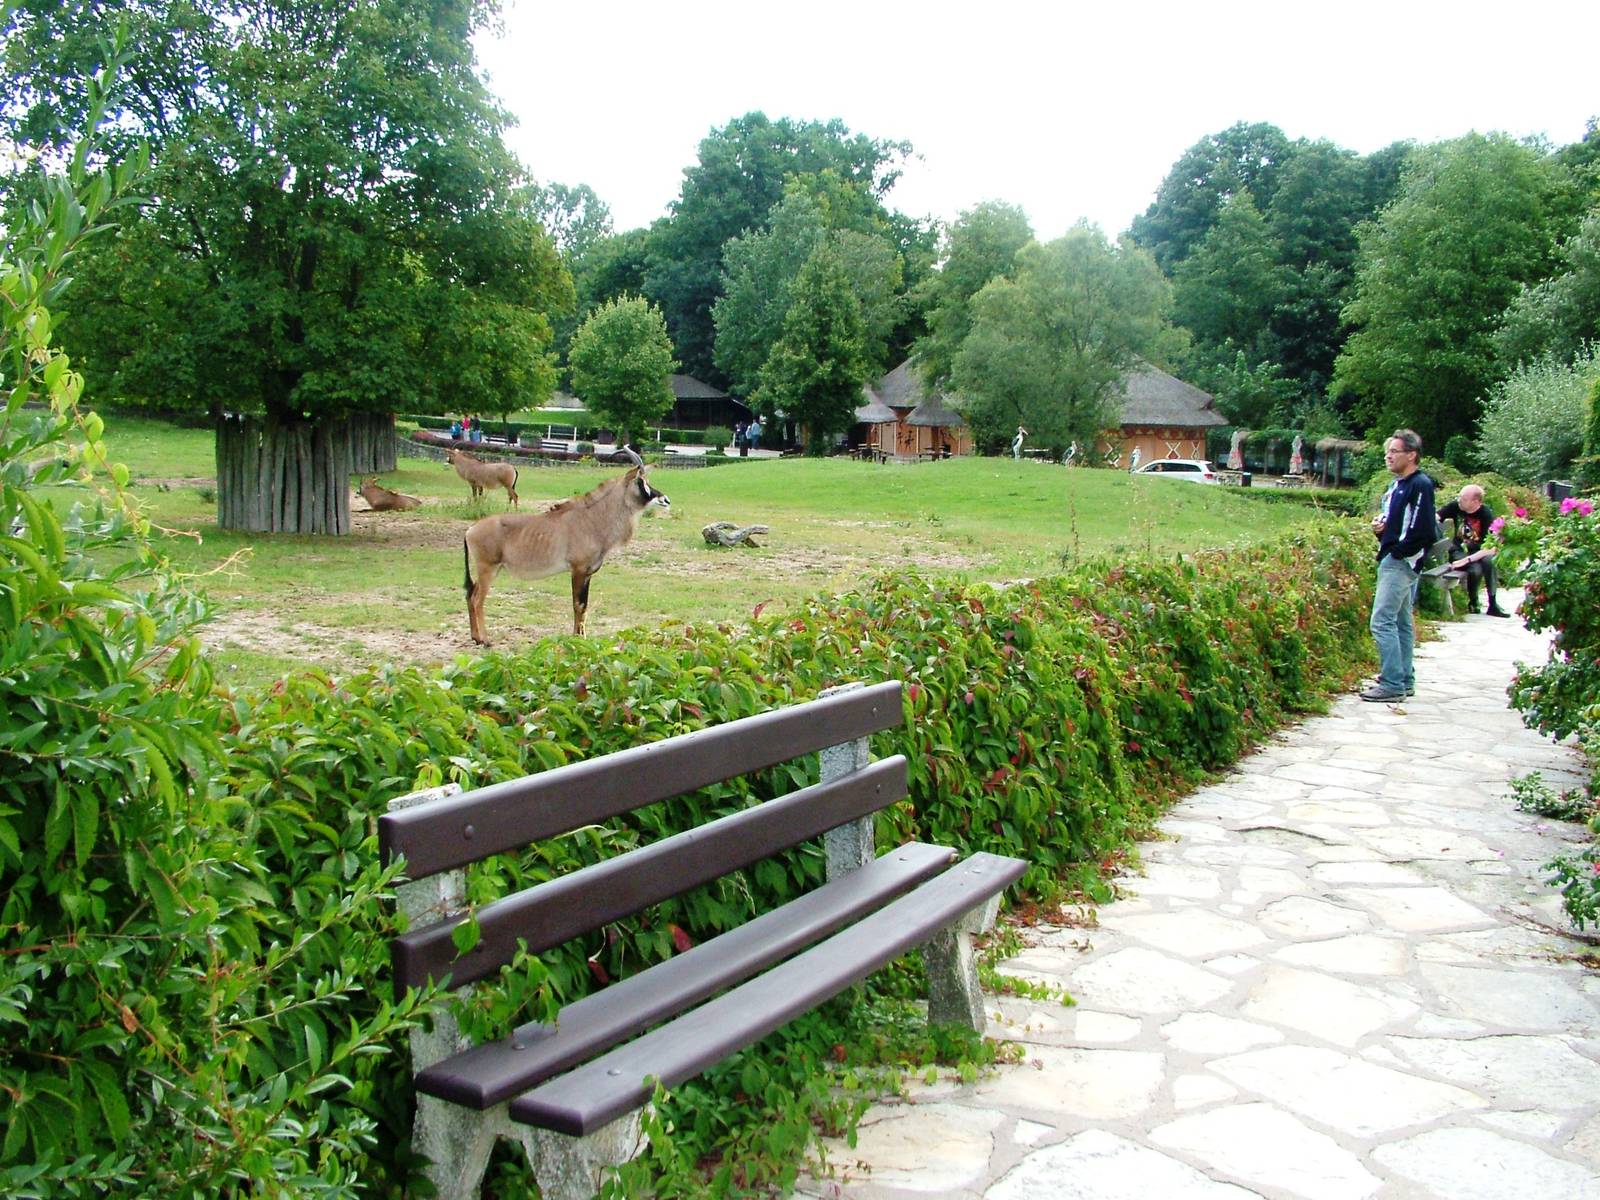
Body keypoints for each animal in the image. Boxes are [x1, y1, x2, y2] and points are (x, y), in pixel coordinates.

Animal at [463, 447, 670, 644]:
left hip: (491, 570)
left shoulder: (587, 574)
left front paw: (581, 637)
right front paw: (577, 638)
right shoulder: (578, 570)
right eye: (641, 481)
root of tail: (471, 529)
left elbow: (583, 606)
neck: (592, 518)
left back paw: (475, 637)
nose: (665, 500)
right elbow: (578, 605)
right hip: (488, 569)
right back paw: (485, 640)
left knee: (471, 594)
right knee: (477, 599)